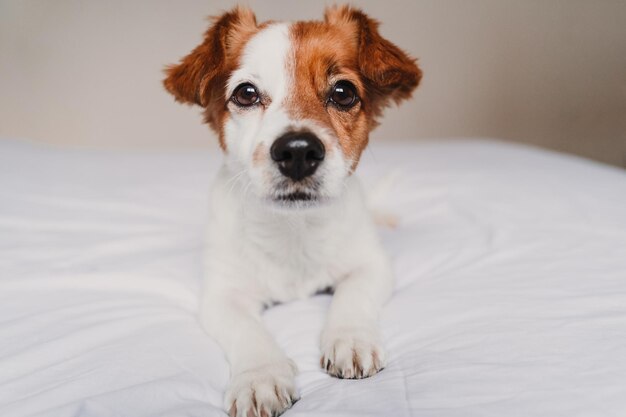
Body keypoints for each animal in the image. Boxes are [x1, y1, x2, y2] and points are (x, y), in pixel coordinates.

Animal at [162, 6, 420, 416]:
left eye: (343, 92)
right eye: (246, 93)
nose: (298, 151)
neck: (294, 229)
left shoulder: (372, 265)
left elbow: (353, 295)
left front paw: (350, 338)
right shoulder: (222, 294)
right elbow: (247, 330)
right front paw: (259, 377)